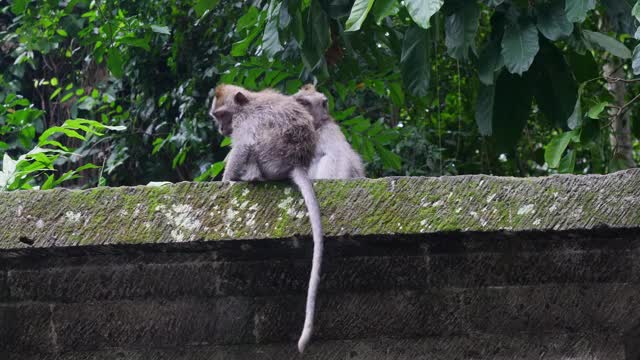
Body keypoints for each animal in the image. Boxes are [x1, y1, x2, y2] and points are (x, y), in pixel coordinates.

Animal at [211, 83, 324, 352]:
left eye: (222, 115)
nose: (220, 129)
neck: (247, 103)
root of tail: (296, 163)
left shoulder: (244, 121)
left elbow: (242, 146)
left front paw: (226, 180)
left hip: (270, 158)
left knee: (252, 148)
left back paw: (250, 178)